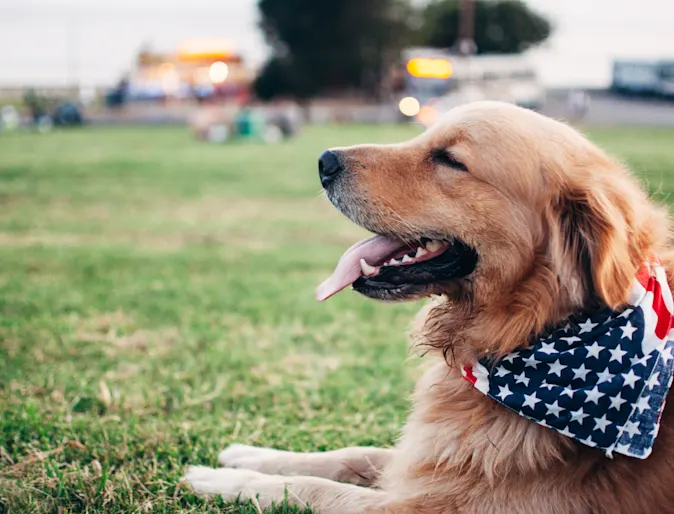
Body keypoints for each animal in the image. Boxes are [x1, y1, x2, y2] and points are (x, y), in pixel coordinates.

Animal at [181, 101, 672, 512]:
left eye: (451, 160)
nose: (324, 160)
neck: (530, 330)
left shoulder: (423, 505)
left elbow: (311, 488)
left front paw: (220, 480)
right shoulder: (427, 461)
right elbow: (348, 455)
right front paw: (248, 454)